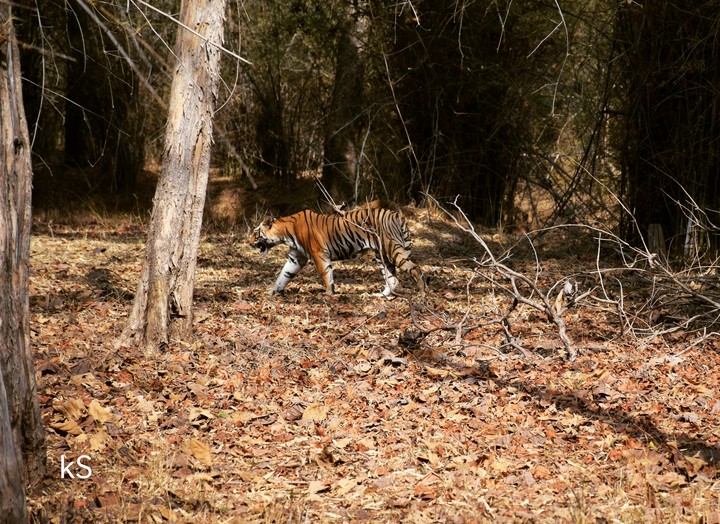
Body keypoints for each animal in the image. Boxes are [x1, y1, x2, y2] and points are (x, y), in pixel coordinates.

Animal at [250, 204, 425, 297]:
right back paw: (379, 296)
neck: (286, 233)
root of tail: (396, 215)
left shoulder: (319, 255)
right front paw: (272, 291)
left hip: (392, 249)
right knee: (393, 279)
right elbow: (283, 275)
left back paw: (422, 295)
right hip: (382, 256)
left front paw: (328, 294)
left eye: (255, 233)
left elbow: (326, 275)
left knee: (415, 269)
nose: (249, 242)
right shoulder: (296, 258)